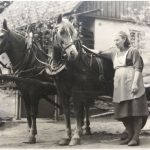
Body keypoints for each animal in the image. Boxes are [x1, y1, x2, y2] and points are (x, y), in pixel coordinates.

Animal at [47, 14, 114, 146]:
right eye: (61, 32)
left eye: (74, 33)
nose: (73, 53)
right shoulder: (62, 92)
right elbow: (67, 112)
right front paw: (67, 137)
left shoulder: (77, 91)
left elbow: (78, 112)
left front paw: (76, 137)